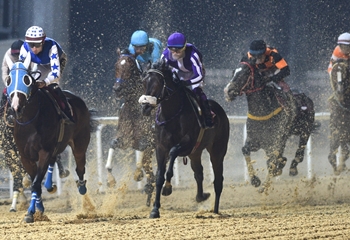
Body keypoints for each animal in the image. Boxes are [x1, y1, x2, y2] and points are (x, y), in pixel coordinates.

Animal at [5, 54, 94, 223]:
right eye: (8, 80)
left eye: (26, 79)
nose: (16, 107)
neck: (30, 120)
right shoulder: (25, 156)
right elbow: (35, 182)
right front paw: (38, 210)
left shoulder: (44, 151)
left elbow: (35, 183)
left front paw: (30, 213)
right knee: (54, 161)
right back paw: (50, 187)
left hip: (80, 142)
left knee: (80, 168)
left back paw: (83, 190)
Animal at [106, 48, 155, 206]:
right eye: (116, 66)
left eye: (131, 67)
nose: (117, 88)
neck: (135, 110)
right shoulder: (125, 139)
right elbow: (112, 143)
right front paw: (110, 180)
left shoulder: (148, 141)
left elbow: (141, 156)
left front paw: (138, 174)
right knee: (151, 175)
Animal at [139, 59, 230, 218]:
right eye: (144, 82)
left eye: (158, 83)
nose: (145, 107)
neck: (171, 114)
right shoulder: (160, 147)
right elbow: (159, 176)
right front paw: (155, 209)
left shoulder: (187, 143)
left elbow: (173, 153)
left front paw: (168, 188)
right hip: (196, 152)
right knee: (198, 172)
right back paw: (201, 196)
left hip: (217, 150)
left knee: (218, 179)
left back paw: (215, 210)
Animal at [224, 60, 318, 193]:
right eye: (233, 72)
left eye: (245, 73)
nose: (228, 91)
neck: (263, 111)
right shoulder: (256, 141)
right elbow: (245, 150)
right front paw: (255, 180)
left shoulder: (276, 141)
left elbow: (272, 161)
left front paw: (264, 185)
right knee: (281, 158)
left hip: (305, 129)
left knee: (299, 154)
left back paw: (292, 168)